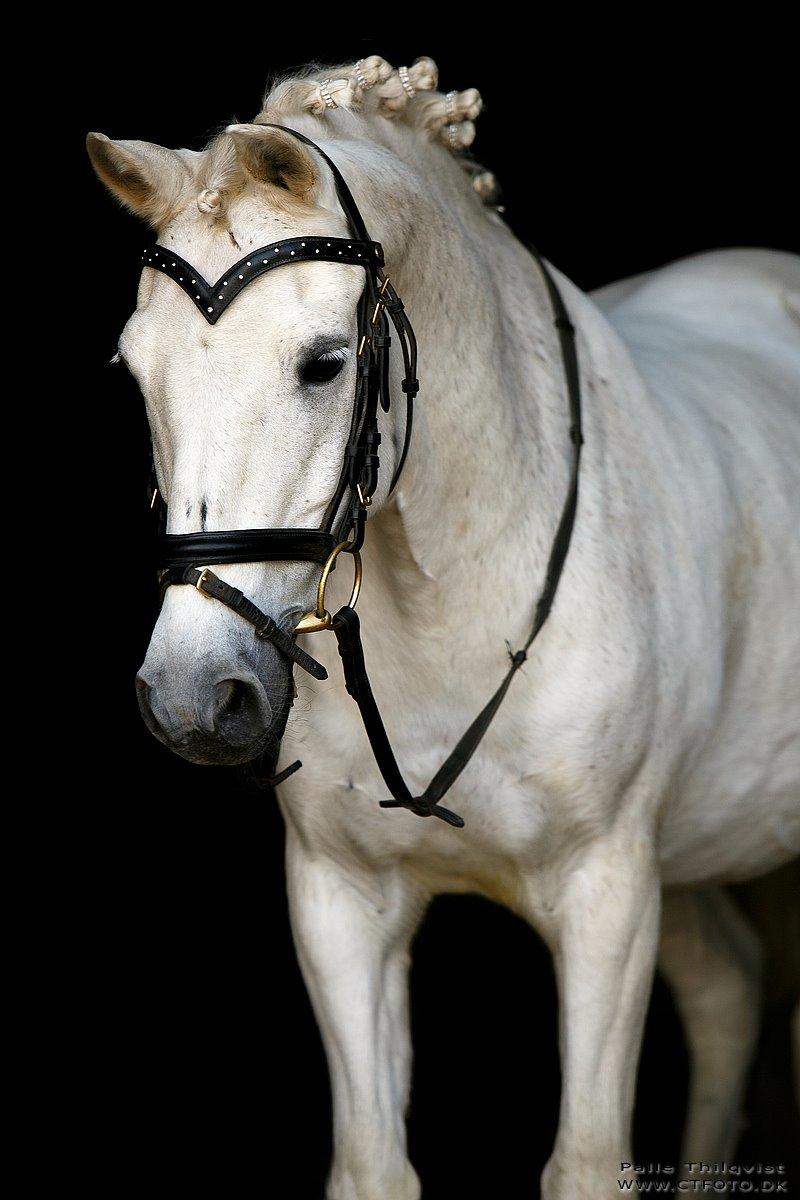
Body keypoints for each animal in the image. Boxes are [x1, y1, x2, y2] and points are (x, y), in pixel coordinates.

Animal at [89, 56, 800, 1200]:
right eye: (133, 367)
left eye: (324, 362)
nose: (195, 696)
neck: (456, 604)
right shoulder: (339, 903)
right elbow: (373, 1165)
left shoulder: (607, 897)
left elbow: (587, 1162)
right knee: (728, 994)